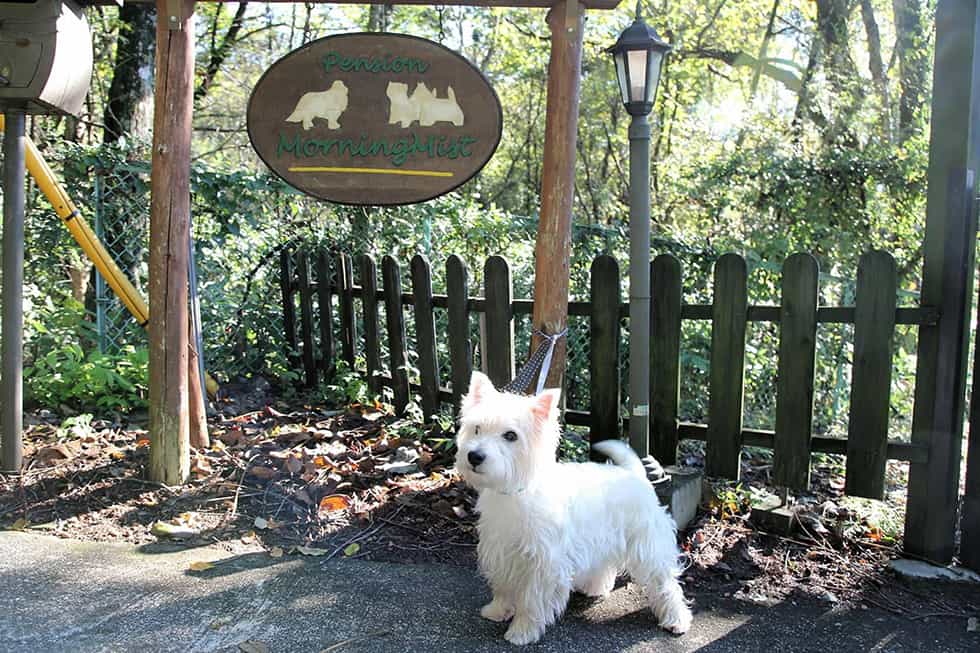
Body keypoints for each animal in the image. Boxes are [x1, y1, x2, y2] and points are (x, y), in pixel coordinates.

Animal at [456, 370, 692, 644]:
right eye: (477, 428)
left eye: (510, 436)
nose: (475, 456)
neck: (515, 492)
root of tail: (634, 472)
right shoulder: (500, 551)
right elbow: (503, 586)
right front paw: (497, 611)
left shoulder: (543, 563)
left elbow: (531, 599)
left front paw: (522, 631)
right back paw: (594, 587)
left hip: (647, 544)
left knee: (665, 582)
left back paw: (676, 619)